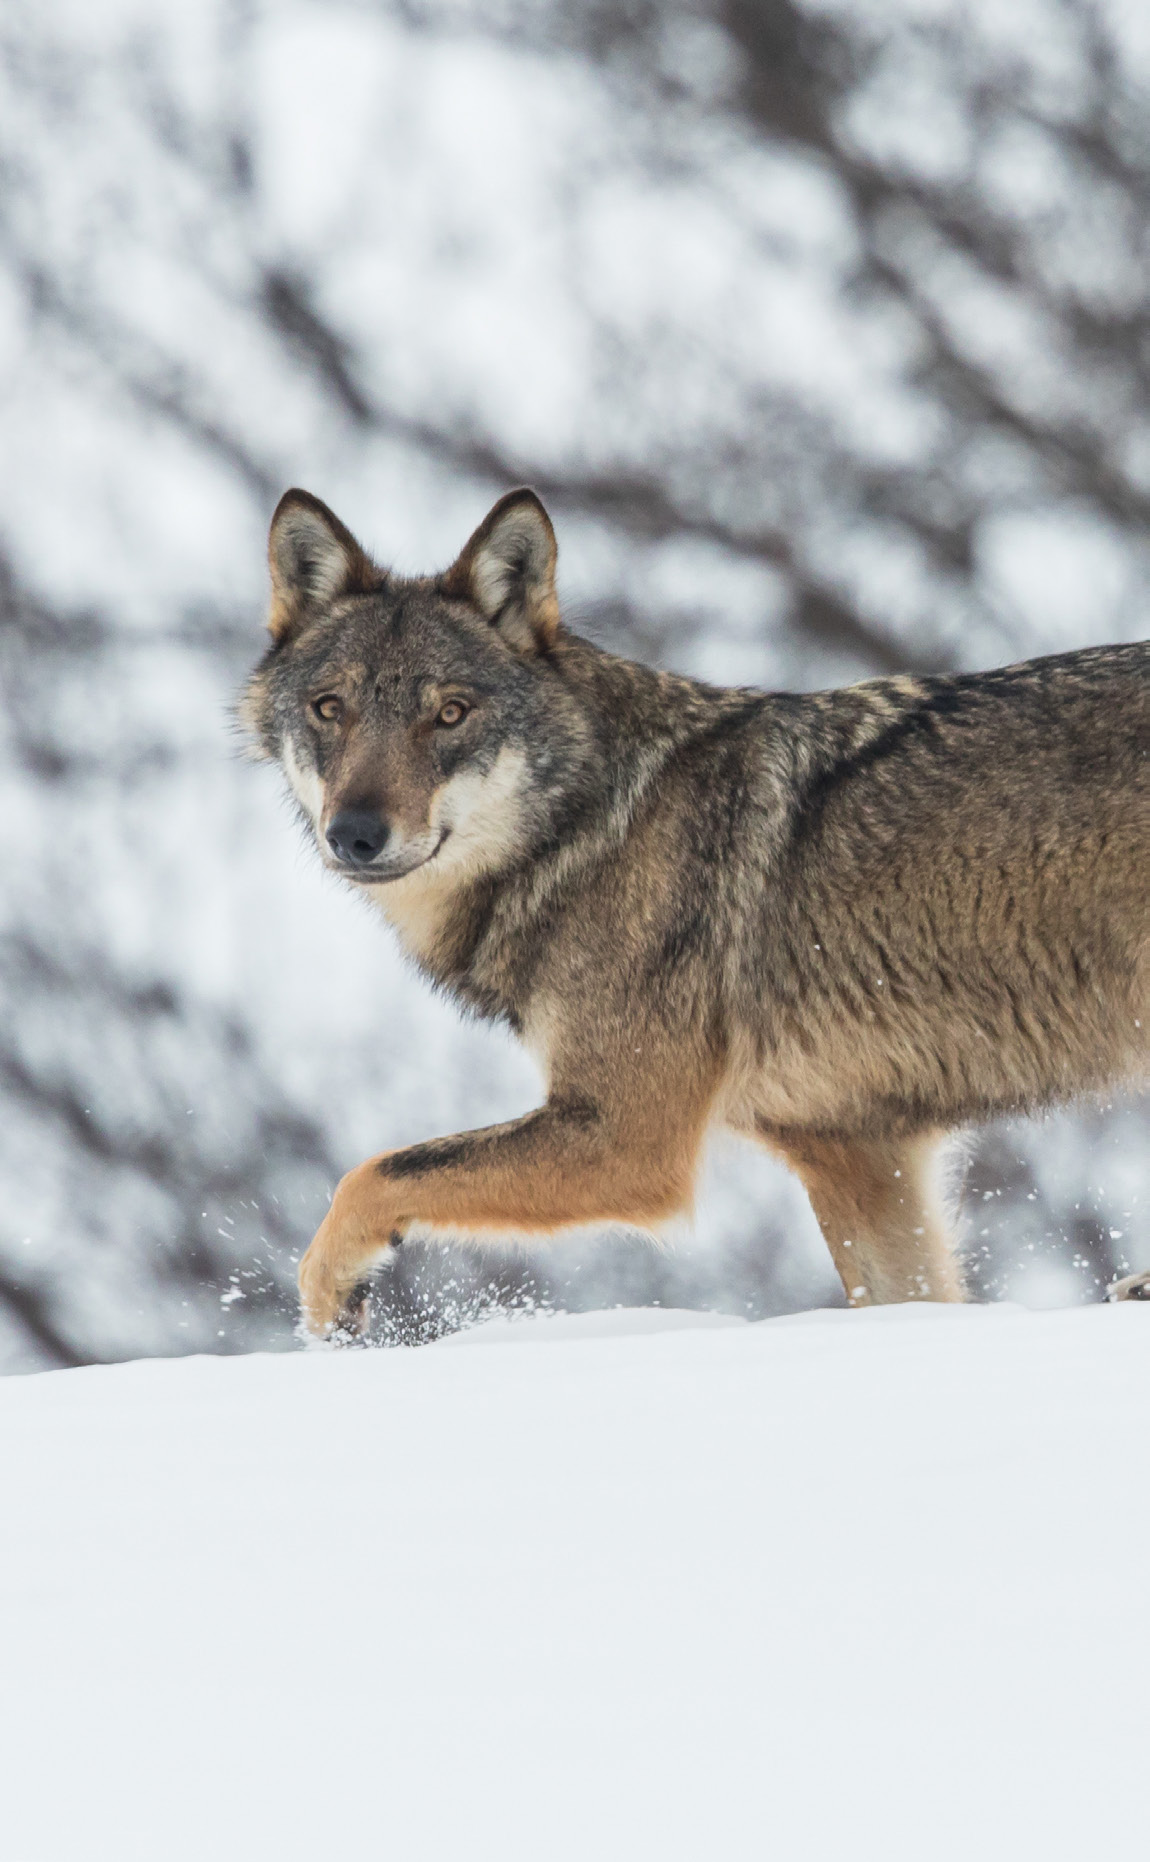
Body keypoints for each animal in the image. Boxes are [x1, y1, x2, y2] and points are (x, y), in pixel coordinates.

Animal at [241, 486, 1149, 1337]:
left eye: (450, 713)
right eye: (330, 709)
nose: (355, 834)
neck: (588, 828)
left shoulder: (626, 1138)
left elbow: (375, 1172)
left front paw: (328, 1295)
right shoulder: (860, 1154)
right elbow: (910, 1301)